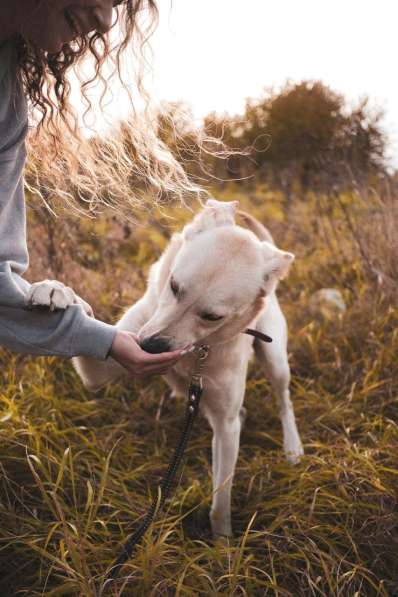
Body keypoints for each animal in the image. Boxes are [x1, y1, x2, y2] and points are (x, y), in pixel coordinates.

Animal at [33, 199, 304, 536]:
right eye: (174, 286)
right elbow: (87, 319)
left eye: (212, 317)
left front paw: (223, 544)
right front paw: (54, 289)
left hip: (274, 359)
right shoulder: (98, 369)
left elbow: (221, 502)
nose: (149, 346)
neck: (196, 354)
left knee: (283, 400)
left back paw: (293, 447)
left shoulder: (226, 427)